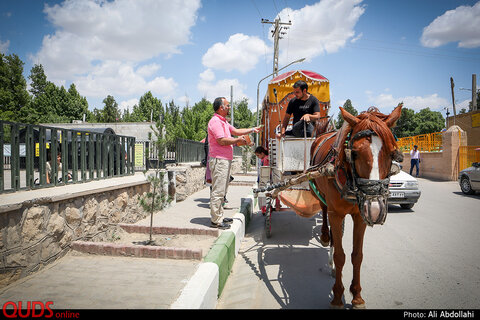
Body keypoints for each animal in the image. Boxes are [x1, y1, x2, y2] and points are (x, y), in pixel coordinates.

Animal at [310, 104, 404, 308]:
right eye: (354, 153)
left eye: (392, 154)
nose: (375, 208)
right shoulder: (336, 214)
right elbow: (340, 256)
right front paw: (337, 296)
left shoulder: (360, 216)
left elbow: (357, 256)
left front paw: (357, 296)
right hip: (320, 193)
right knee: (323, 208)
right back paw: (325, 236)